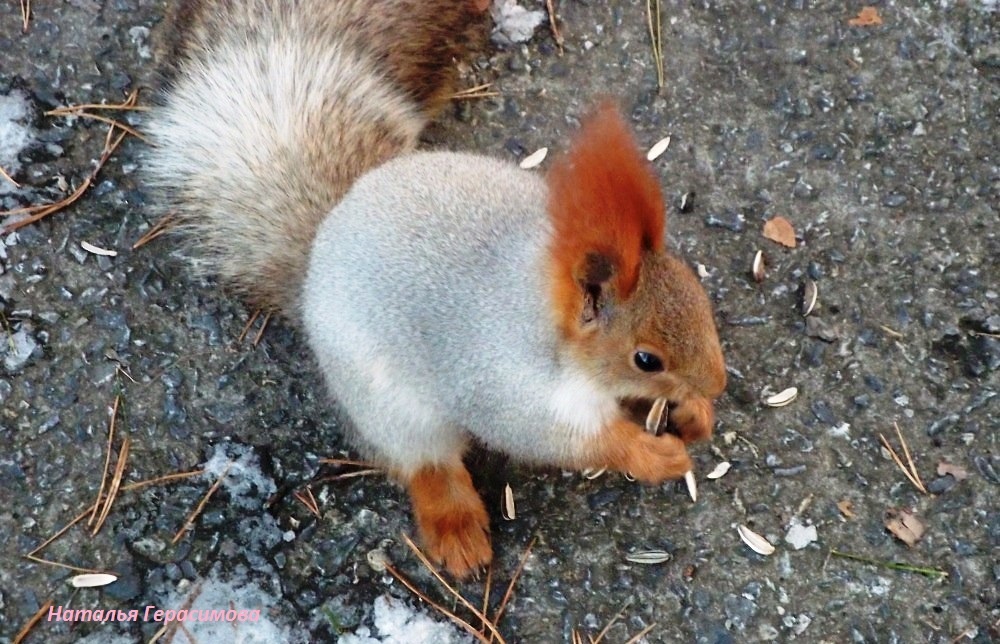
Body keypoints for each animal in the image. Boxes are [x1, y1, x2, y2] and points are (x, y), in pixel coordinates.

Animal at [145, 0, 728, 580]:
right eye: (645, 359)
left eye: (698, 298)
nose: (719, 384)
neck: (549, 322)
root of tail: (322, 245)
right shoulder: (506, 387)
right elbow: (566, 442)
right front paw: (651, 454)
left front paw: (694, 411)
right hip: (386, 403)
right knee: (424, 462)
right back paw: (457, 529)